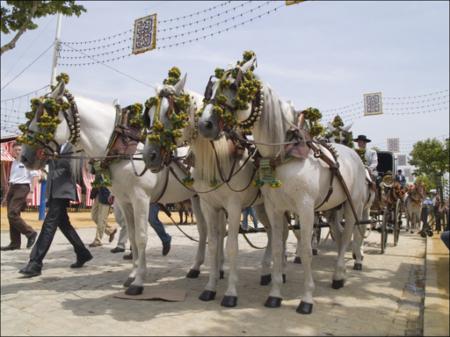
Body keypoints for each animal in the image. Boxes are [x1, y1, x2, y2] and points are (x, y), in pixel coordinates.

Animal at [19, 79, 211, 294]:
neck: (123, 149)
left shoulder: (141, 198)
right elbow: (133, 237)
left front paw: (139, 281)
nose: (24, 157)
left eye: (45, 116)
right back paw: (196, 268)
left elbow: (141, 237)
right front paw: (133, 274)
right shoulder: (125, 201)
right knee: (204, 230)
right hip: (196, 197)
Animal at [142, 76, 288, 308]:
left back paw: (280, 272)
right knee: (273, 232)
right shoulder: (209, 205)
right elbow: (213, 243)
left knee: (283, 232)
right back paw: (267, 271)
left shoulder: (234, 207)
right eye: (148, 116)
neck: (219, 158)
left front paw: (230, 292)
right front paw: (210, 287)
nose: (149, 156)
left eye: (171, 113)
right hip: (261, 207)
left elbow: (231, 246)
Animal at [199, 54, 370, 312]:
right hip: (330, 209)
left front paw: (306, 299)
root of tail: (354, 156)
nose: (205, 124)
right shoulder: (273, 208)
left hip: (354, 207)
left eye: (234, 86)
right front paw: (274, 294)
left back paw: (340, 275)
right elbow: (278, 246)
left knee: (349, 235)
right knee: (340, 235)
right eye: (212, 87)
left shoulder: (305, 208)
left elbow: (306, 250)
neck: (282, 155)